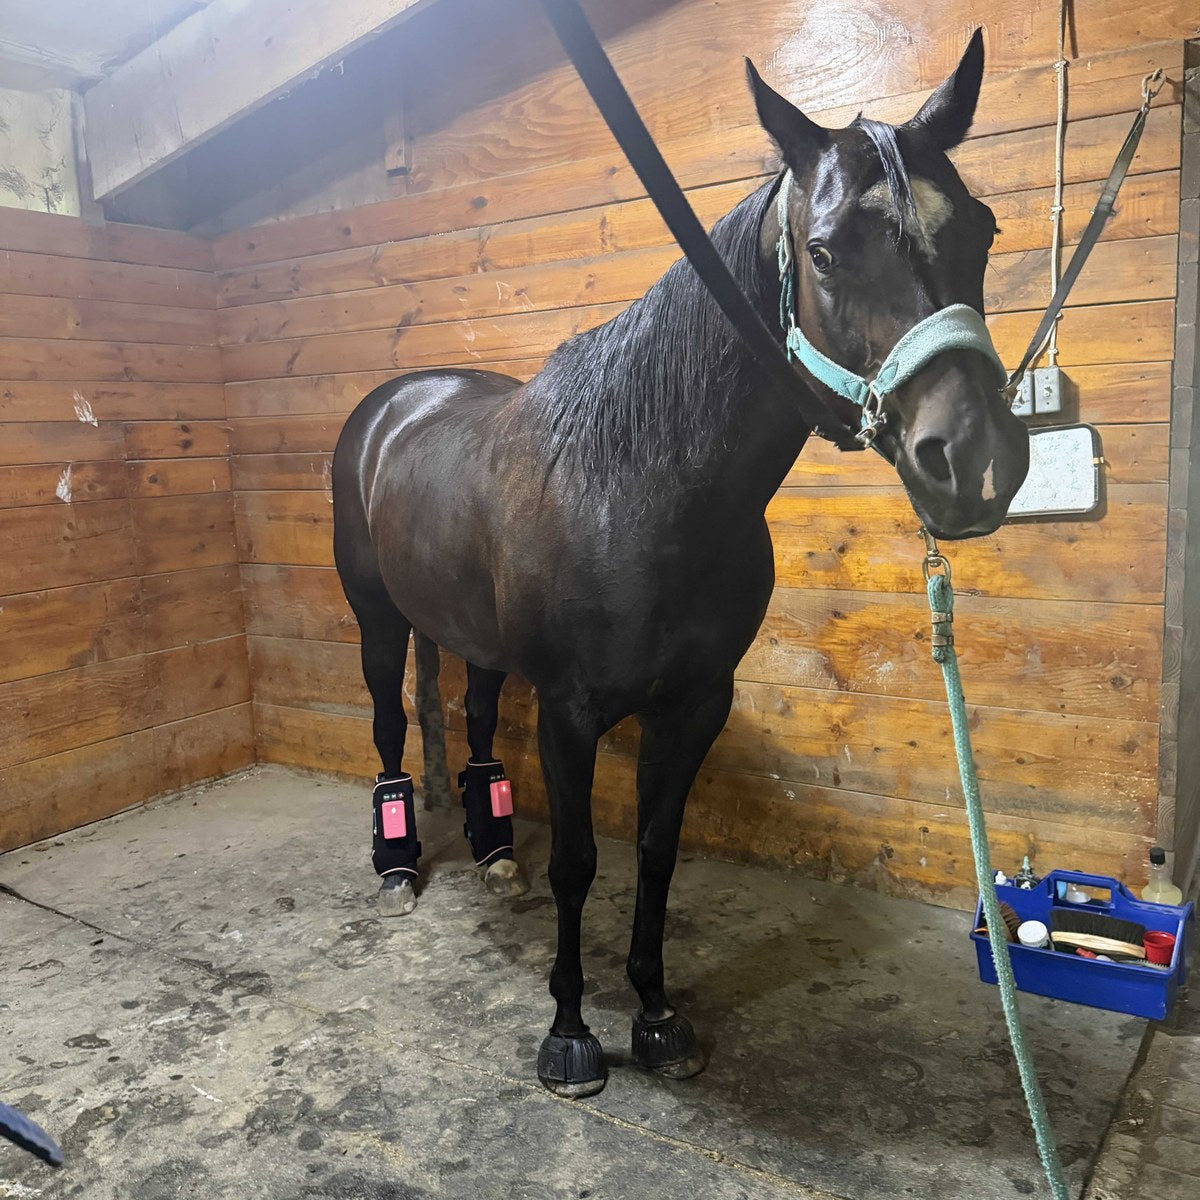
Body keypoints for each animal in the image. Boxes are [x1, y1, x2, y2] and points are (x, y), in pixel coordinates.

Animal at [331, 29, 1029, 1098]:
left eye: (984, 232)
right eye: (824, 250)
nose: (976, 462)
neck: (643, 488)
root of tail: (394, 404)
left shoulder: (696, 704)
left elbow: (658, 854)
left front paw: (658, 1015)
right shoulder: (572, 713)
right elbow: (581, 861)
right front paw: (570, 1033)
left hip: (478, 642)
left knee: (479, 718)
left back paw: (493, 853)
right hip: (378, 621)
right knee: (383, 726)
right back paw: (399, 866)